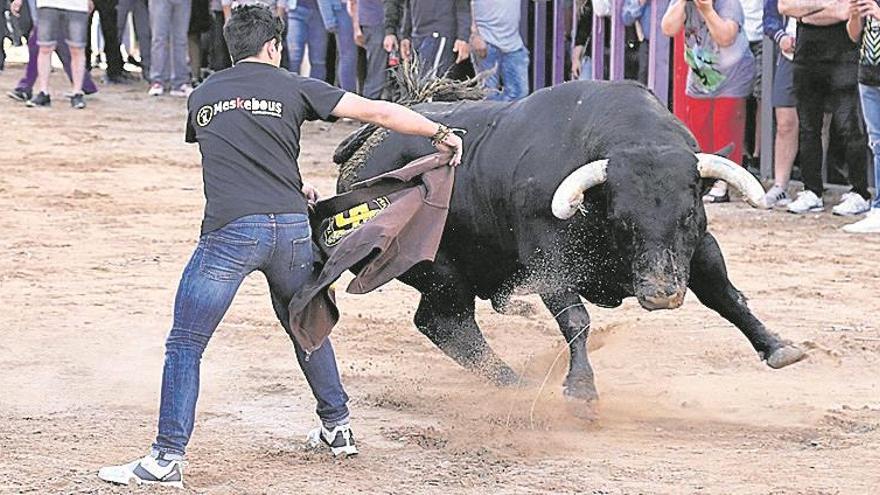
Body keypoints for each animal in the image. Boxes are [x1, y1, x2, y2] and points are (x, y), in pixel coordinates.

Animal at [332, 80, 804, 404]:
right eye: (621, 220)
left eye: (688, 214)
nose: (660, 294)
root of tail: (364, 146)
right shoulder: (551, 260)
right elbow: (575, 319)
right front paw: (580, 388)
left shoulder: (700, 247)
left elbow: (727, 296)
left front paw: (778, 347)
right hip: (436, 269)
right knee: (446, 322)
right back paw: (516, 383)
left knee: (443, 324)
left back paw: (513, 381)